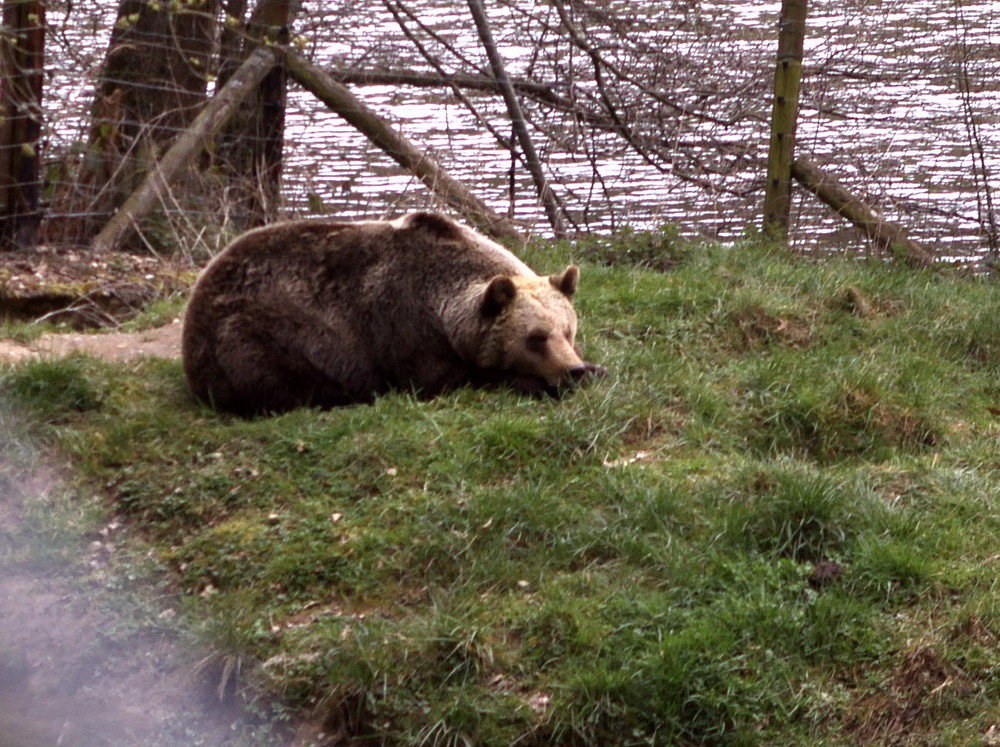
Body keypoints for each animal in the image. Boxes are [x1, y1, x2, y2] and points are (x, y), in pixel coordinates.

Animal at [184, 212, 604, 414]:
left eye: (568, 331)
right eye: (535, 338)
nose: (572, 370)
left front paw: (595, 368)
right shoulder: (403, 326)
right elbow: (446, 378)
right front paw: (527, 381)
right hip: (255, 329)